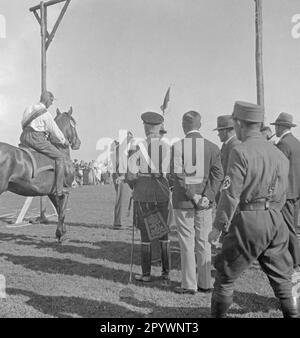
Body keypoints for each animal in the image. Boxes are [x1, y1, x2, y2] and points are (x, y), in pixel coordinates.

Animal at [0, 107, 81, 242]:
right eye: (74, 124)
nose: (78, 143)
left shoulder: (51, 193)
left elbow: (59, 210)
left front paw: (61, 232)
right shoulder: (64, 191)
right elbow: (62, 211)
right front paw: (60, 233)